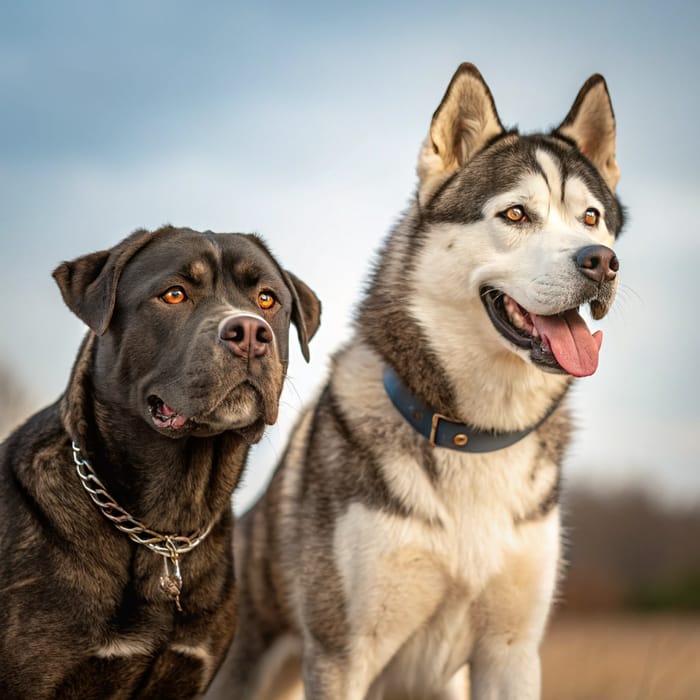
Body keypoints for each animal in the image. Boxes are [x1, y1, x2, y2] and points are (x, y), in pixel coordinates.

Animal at [208, 64, 624, 700]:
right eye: (516, 215)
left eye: (592, 218)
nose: (600, 261)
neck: (474, 433)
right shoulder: (344, 655)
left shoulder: (511, 652)